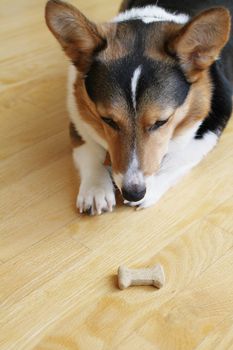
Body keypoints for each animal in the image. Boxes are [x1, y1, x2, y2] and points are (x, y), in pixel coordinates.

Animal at [44, 0, 232, 215]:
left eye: (161, 122)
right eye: (108, 120)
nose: (134, 193)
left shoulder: (211, 126)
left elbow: (180, 157)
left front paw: (152, 188)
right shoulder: (79, 119)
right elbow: (89, 150)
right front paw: (96, 189)